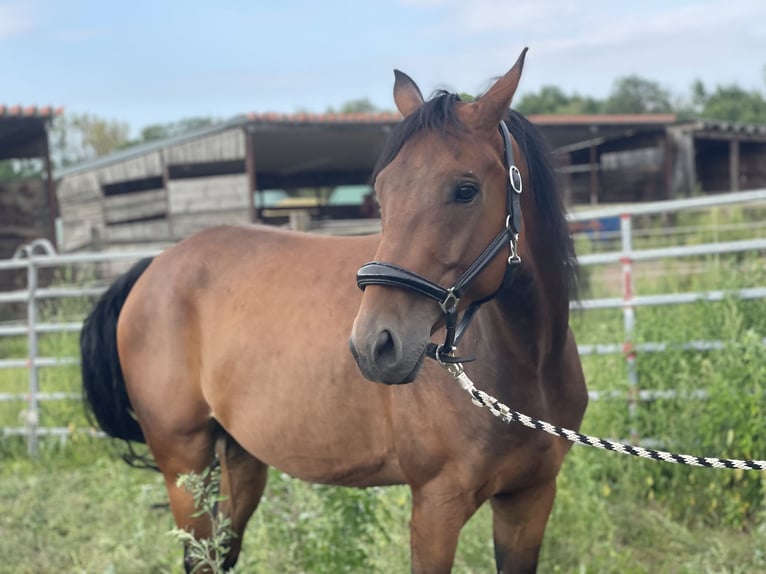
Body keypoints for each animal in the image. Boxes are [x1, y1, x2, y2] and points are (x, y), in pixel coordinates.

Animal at [82, 47, 588, 572]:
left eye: (465, 189)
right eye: (382, 191)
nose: (375, 345)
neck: (526, 366)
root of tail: (154, 266)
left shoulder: (530, 499)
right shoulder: (436, 507)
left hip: (240, 458)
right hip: (185, 465)